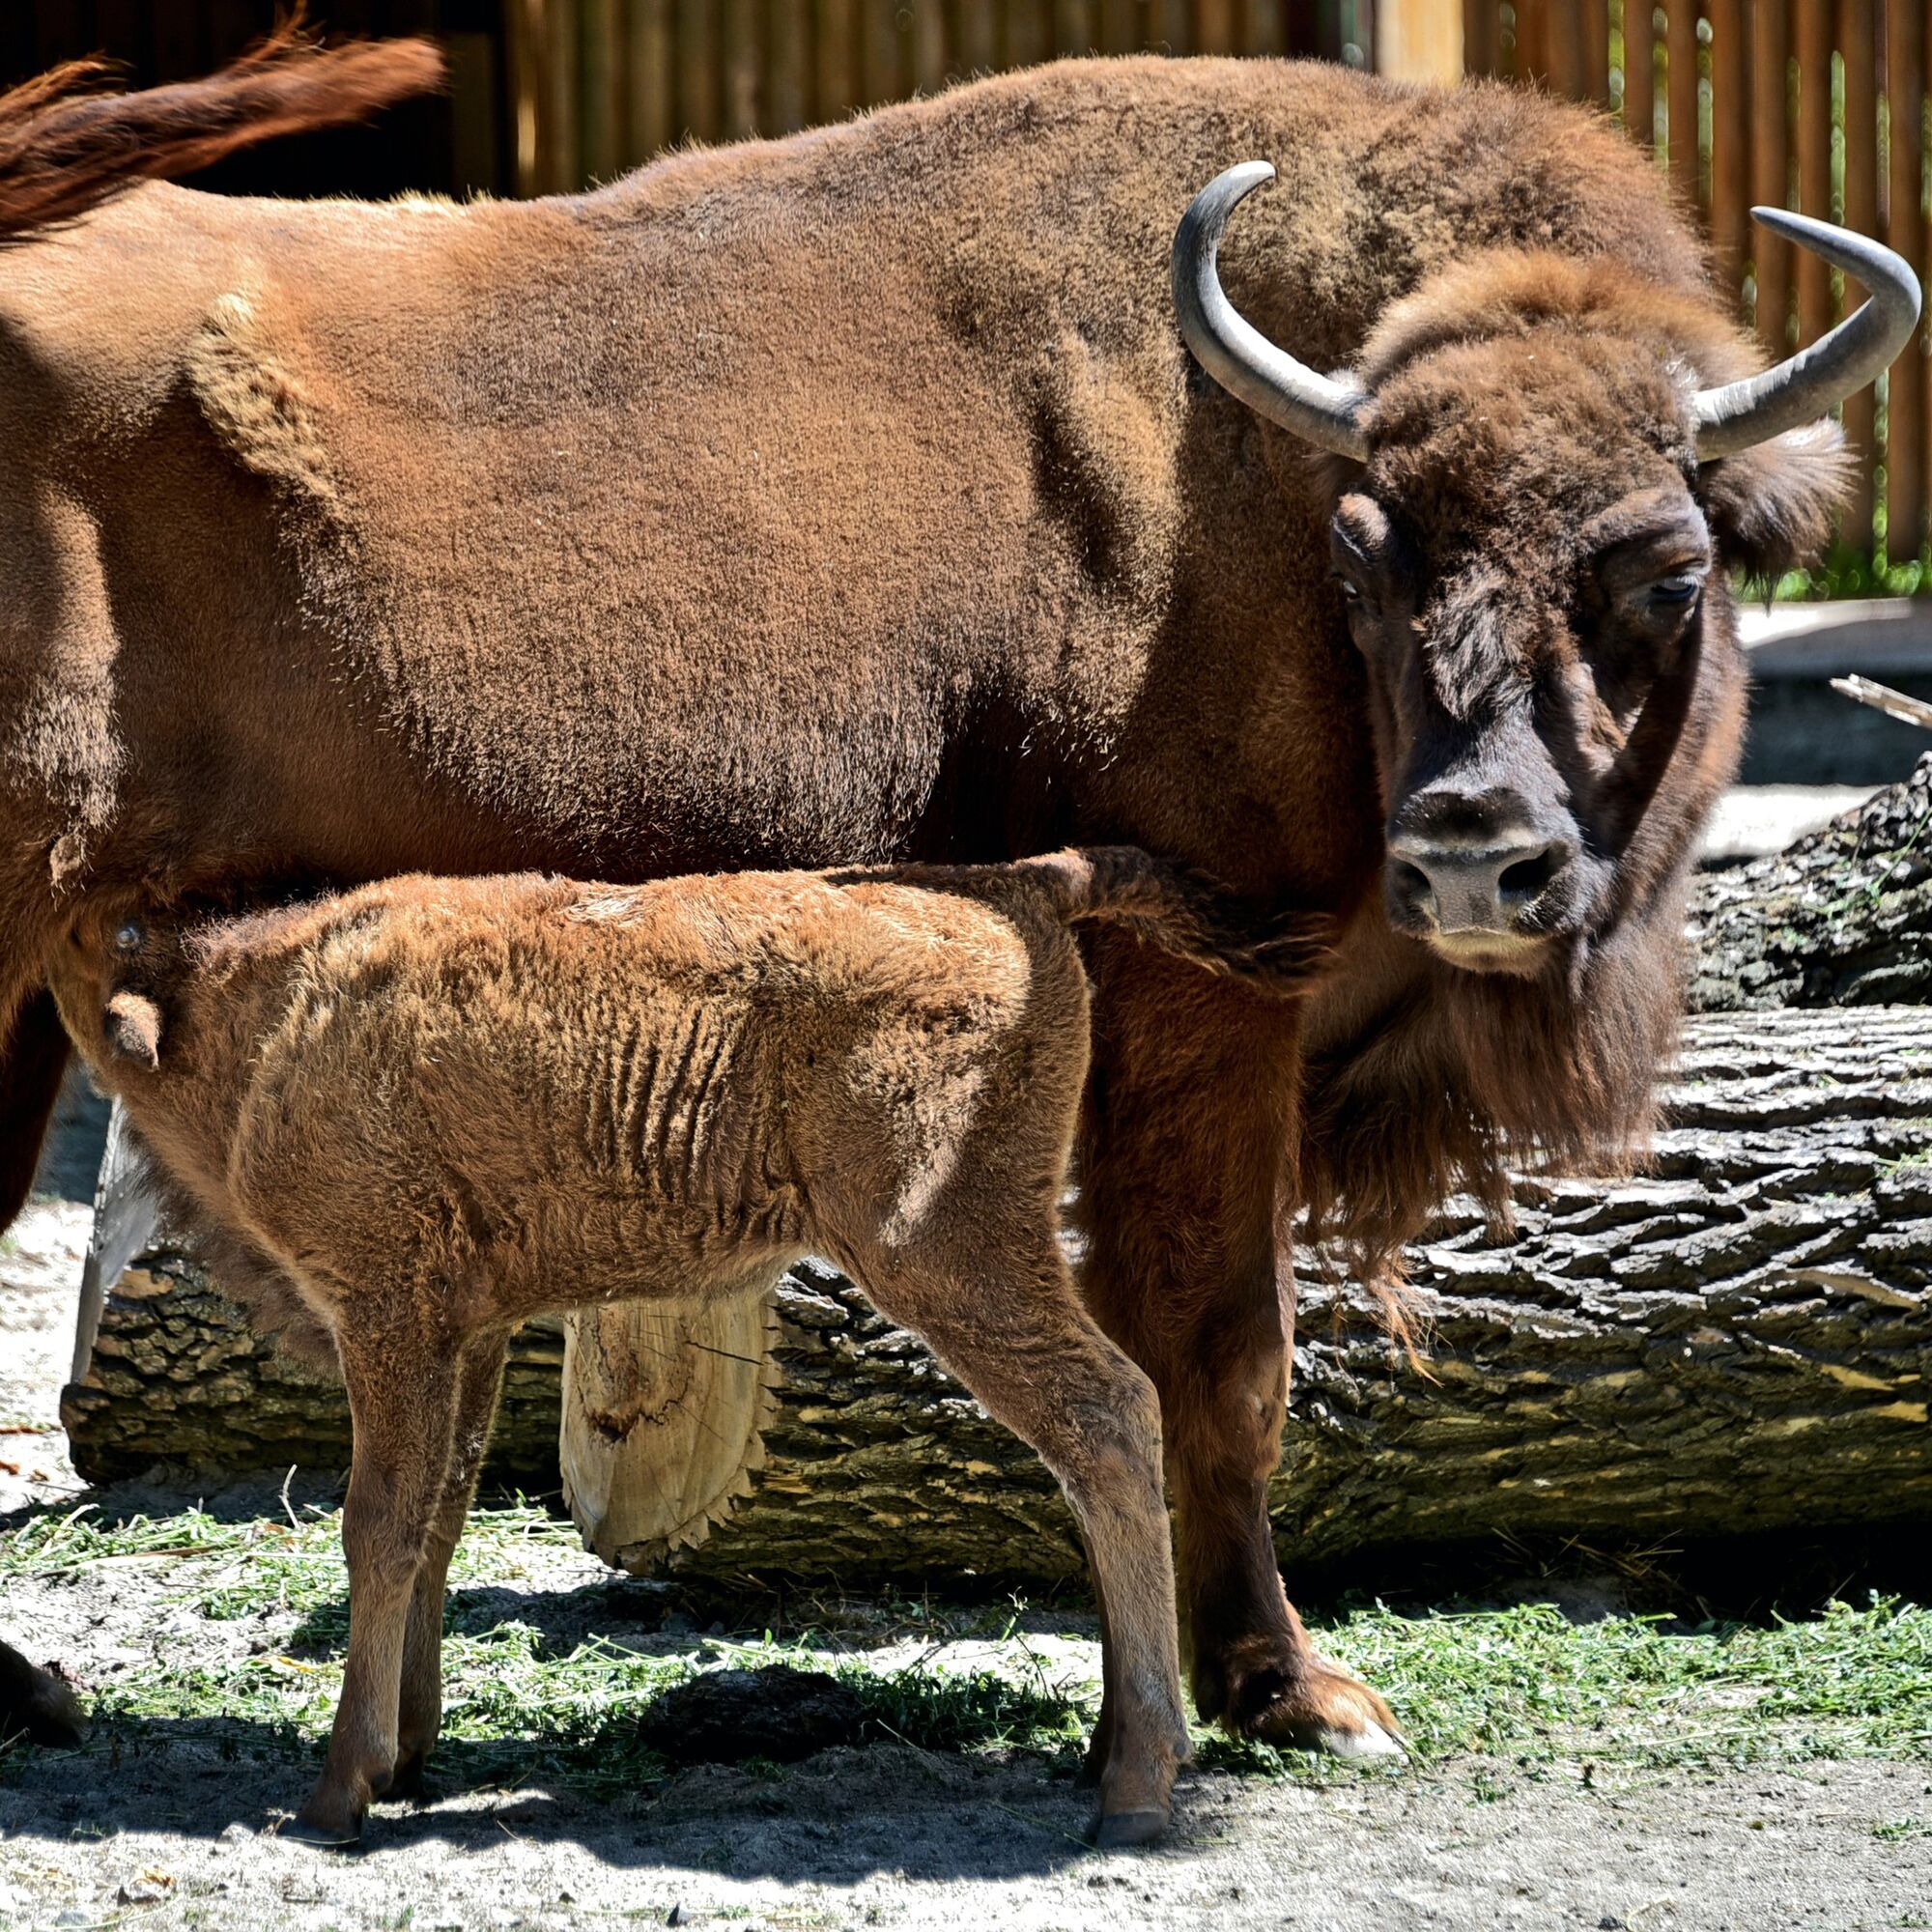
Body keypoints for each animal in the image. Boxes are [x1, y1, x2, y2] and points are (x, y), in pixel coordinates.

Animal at [52, 850, 1337, 1839]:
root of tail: (1021, 880)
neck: (268, 1011)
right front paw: (408, 1754)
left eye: (91, 935)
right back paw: (1111, 1751)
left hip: (946, 1248)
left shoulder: (390, 1316)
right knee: (1100, 1434)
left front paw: (334, 1792)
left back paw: (1134, 1788)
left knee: (1107, 1414)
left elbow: (376, 1523)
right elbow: (437, 1516)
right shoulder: (468, 1330)